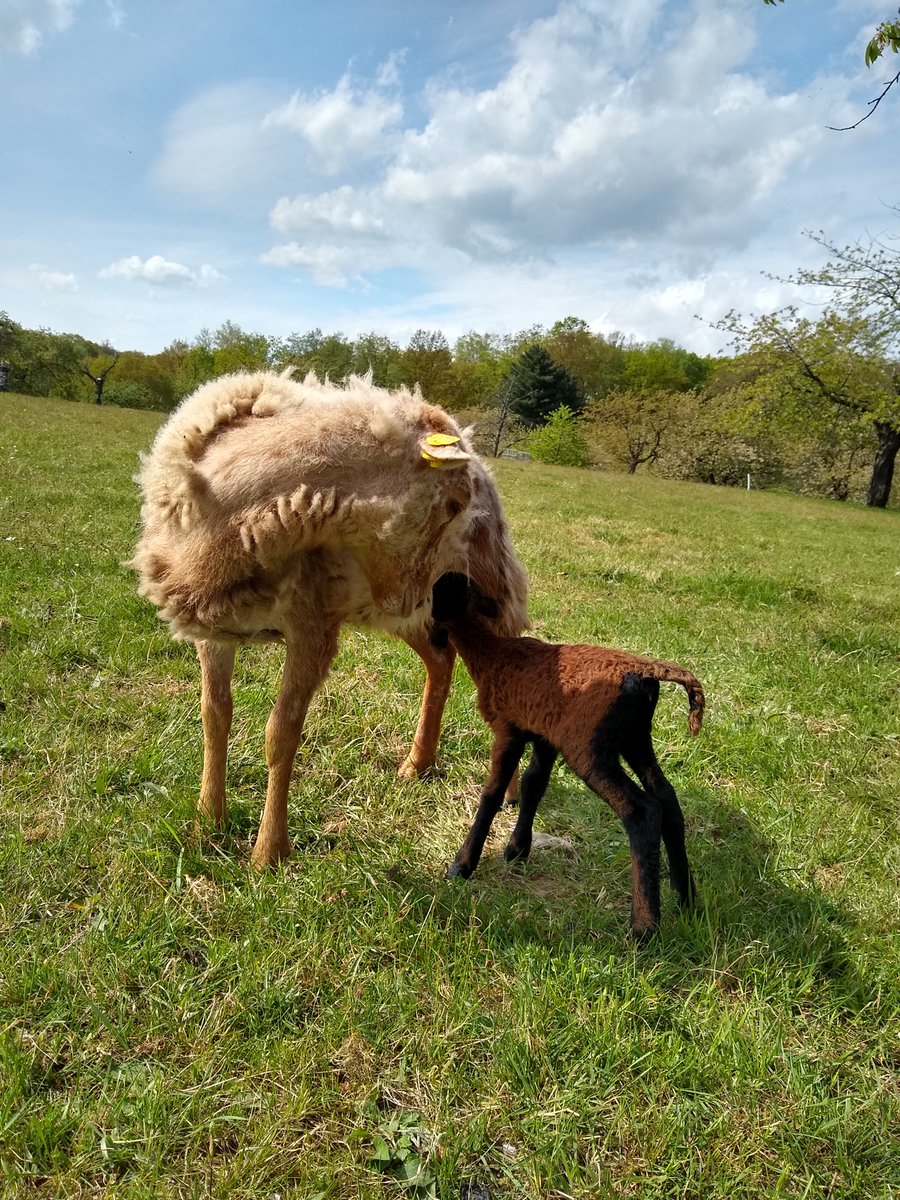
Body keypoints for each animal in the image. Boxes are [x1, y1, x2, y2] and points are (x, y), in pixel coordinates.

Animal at [133, 369, 528, 868]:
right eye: (453, 504)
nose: (412, 595)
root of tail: (484, 464)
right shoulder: (217, 630)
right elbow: (214, 716)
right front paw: (208, 819)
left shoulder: (312, 626)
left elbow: (280, 734)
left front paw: (269, 853)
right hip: (410, 616)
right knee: (439, 662)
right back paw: (417, 764)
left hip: (487, 593)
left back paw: (508, 792)